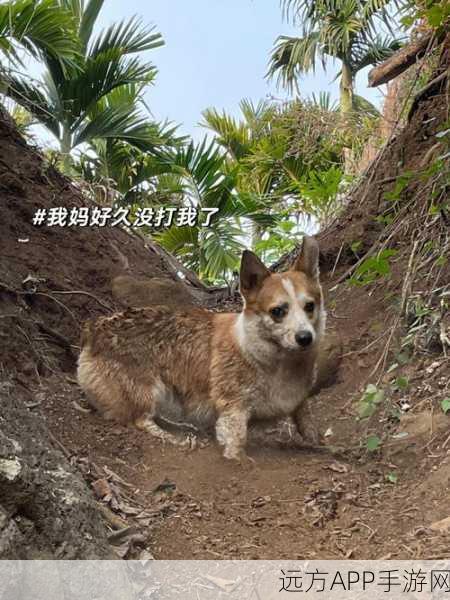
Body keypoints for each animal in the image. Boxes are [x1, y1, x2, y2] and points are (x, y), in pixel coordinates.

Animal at [76, 237, 324, 462]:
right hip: (148, 391)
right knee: (140, 419)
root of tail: (93, 330)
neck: (277, 361)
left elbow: (305, 418)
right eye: (278, 311)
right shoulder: (233, 409)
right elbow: (237, 441)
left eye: (310, 306)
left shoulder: (298, 400)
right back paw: (173, 437)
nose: (305, 338)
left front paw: (318, 442)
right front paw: (241, 462)